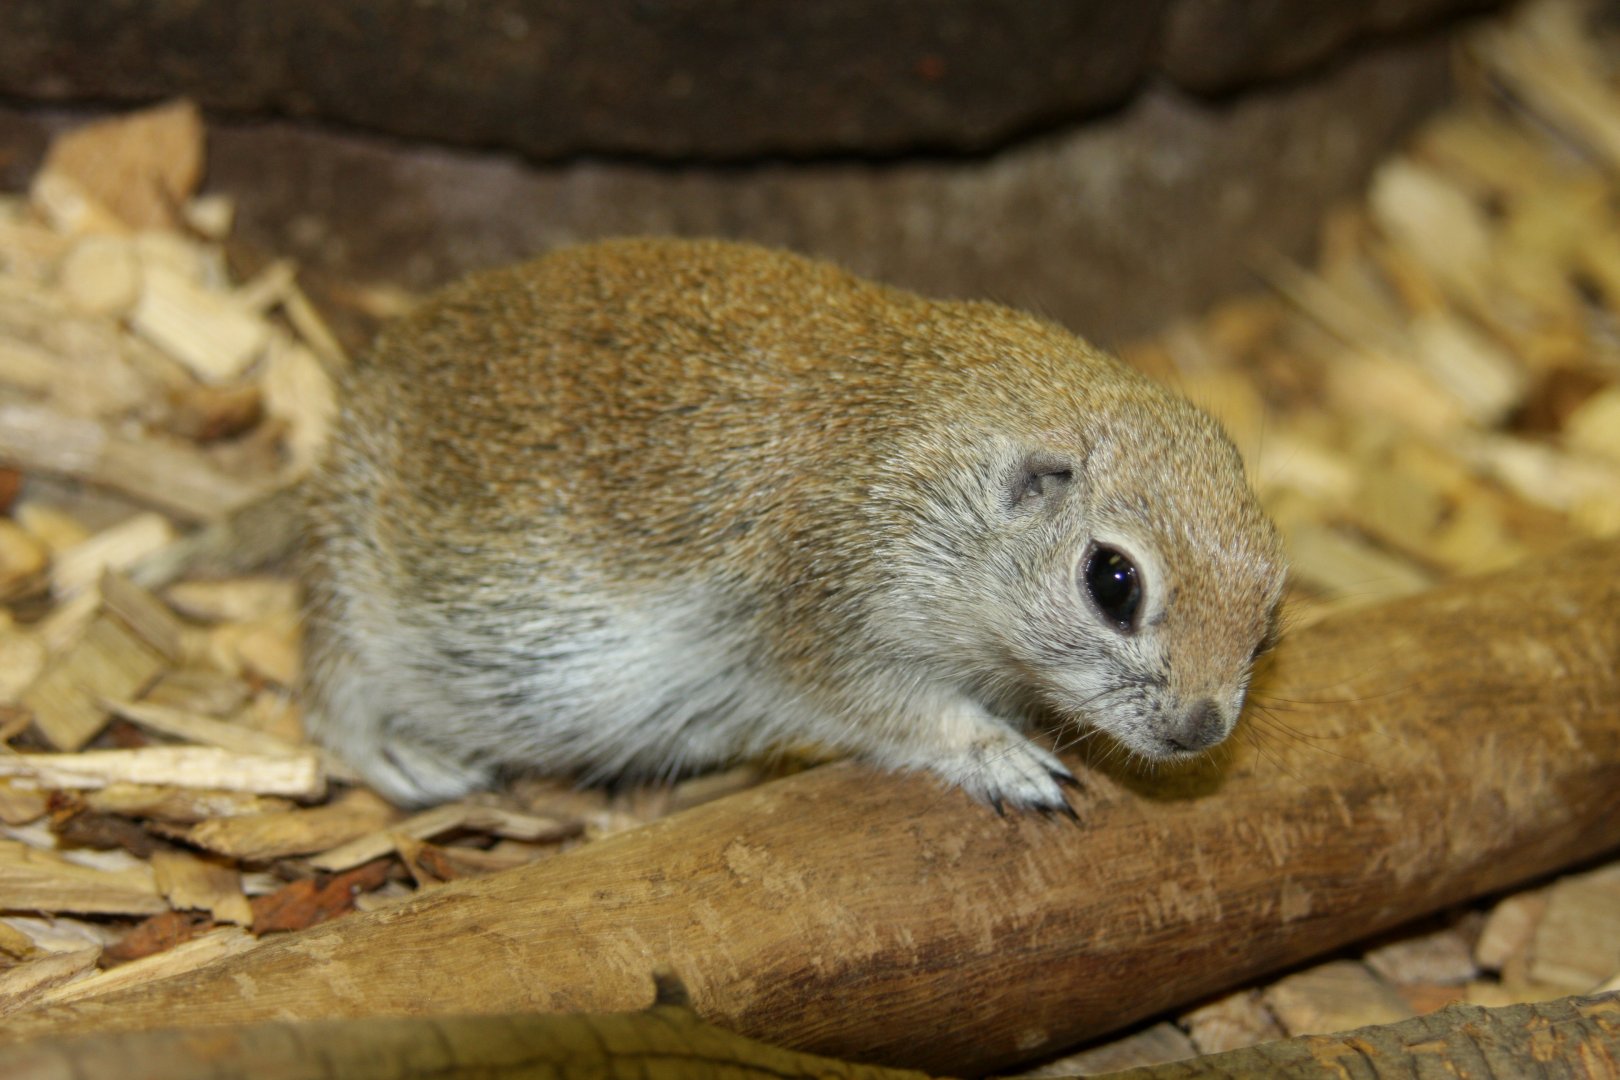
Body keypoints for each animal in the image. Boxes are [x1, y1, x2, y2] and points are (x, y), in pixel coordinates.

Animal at [298, 237, 1286, 813]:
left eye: (1271, 617)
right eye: (1113, 582)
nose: (1202, 730)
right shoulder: (826, 626)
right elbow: (907, 712)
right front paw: (1011, 764)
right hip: (353, 594)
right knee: (333, 701)